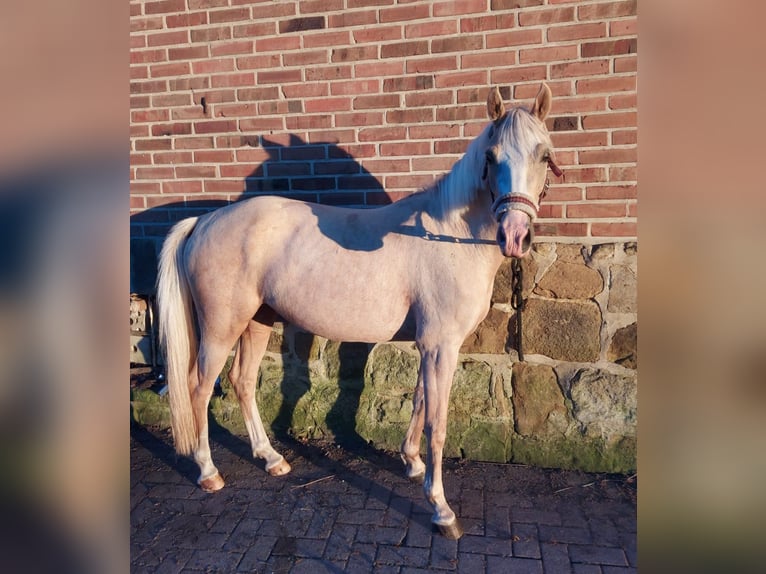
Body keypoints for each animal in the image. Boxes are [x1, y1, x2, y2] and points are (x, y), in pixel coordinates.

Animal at [156, 83, 559, 539]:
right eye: (491, 158)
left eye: (544, 155)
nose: (515, 235)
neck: (448, 234)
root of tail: (204, 221)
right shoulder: (441, 346)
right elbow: (437, 423)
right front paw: (441, 509)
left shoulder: (430, 346)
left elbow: (419, 402)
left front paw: (411, 463)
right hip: (221, 328)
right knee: (199, 389)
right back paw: (208, 471)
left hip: (257, 321)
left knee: (242, 382)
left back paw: (271, 458)